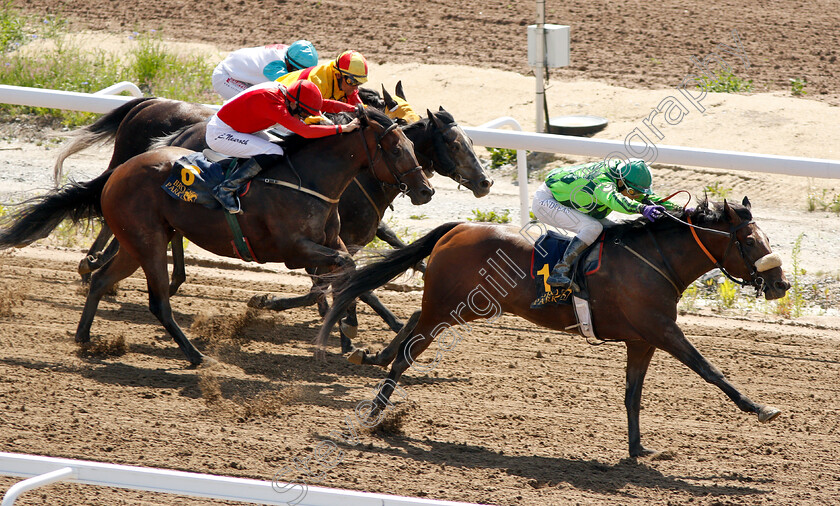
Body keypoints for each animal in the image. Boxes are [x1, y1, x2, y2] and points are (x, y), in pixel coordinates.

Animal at [0, 107, 430, 368]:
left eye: (413, 145)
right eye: (395, 148)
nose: (425, 190)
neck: (309, 179)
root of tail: (118, 171)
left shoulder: (330, 244)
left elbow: (347, 274)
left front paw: (349, 330)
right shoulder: (294, 249)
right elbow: (342, 273)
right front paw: (275, 304)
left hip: (136, 242)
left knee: (103, 279)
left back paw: (84, 335)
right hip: (148, 242)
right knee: (158, 303)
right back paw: (196, 356)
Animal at [318, 200, 792, 456]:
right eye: (751, 241)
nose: (781, 284)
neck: (654, 259)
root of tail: (459, 227)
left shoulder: (642, 341)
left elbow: (633, 396)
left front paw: (638, 449)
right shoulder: (663, 331)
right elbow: (711, 370)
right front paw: (760, 408)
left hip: (459, 308)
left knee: (412, 325)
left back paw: (367, 354)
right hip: (451, 308)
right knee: (408, 354)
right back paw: (374, 412)